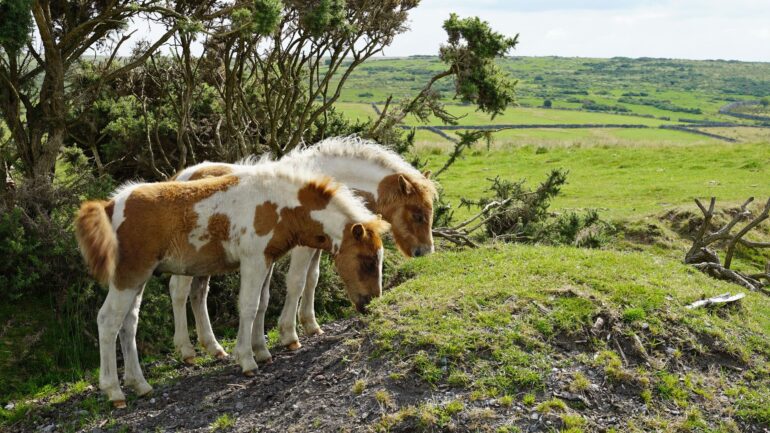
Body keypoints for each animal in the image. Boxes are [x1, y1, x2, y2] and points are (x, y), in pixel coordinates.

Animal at [75, 162, 389, 407]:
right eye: (367, 261)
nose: (371, 301)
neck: (277, 203)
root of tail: (110, 206)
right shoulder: (253, 259)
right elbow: (249, 306)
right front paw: (247, 360)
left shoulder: (267, 260)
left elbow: (263, 303)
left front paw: (262, 351)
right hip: (128, 275)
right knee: (108, 321)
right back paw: (115, 392)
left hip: (139, 278)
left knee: (129, 323)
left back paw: (140, 384)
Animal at [168, 137, 436, 364]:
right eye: (418, 214)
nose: (425, 252)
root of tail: (182, 175)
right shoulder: (302, 247)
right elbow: (296, 282)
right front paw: (289, 335)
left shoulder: (318, 245)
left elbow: (312, 279)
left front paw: (310, 324)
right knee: (179, 292)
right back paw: (187, 351)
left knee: (199, 294)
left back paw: (214, 348)